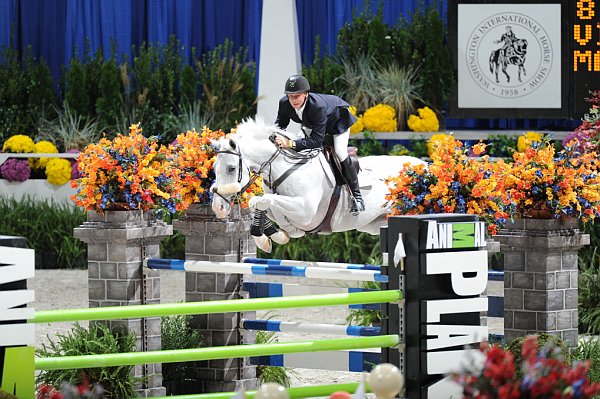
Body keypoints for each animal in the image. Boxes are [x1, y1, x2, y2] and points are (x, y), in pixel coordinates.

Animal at [211, 117, 426, 252]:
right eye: (214, 168)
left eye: (231, 169)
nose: (218, 208)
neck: (283, 166)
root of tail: (423, 165)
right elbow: (265, 204)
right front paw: (274, 235)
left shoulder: (306, 212)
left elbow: (263, 201)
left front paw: (273, 235)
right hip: (375, 225)